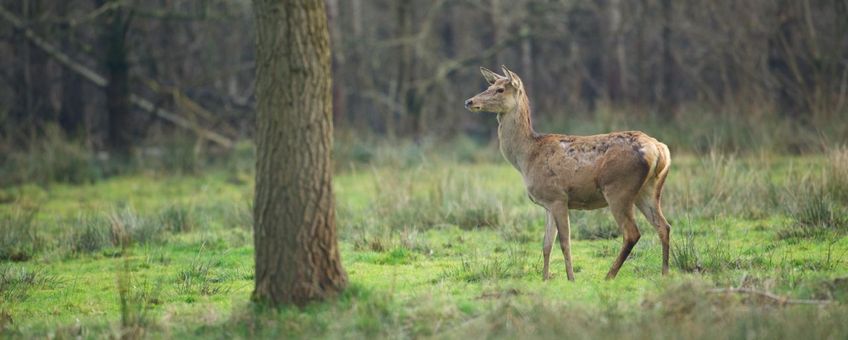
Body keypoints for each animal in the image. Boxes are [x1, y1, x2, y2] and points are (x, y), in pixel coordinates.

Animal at [464, 66, 668, 282]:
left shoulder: (558, 197)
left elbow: (564, 242)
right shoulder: (547, 203)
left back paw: (609, 275)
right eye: (489, 86)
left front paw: (571, 278)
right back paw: (665, 272)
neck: (526, 157)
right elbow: (546, 244)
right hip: (648, 189)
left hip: (618, 189)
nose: (469, 101)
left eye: (500, 89)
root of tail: (659, 150)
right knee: (663, 226)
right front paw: (545, 278)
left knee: (632, 233)